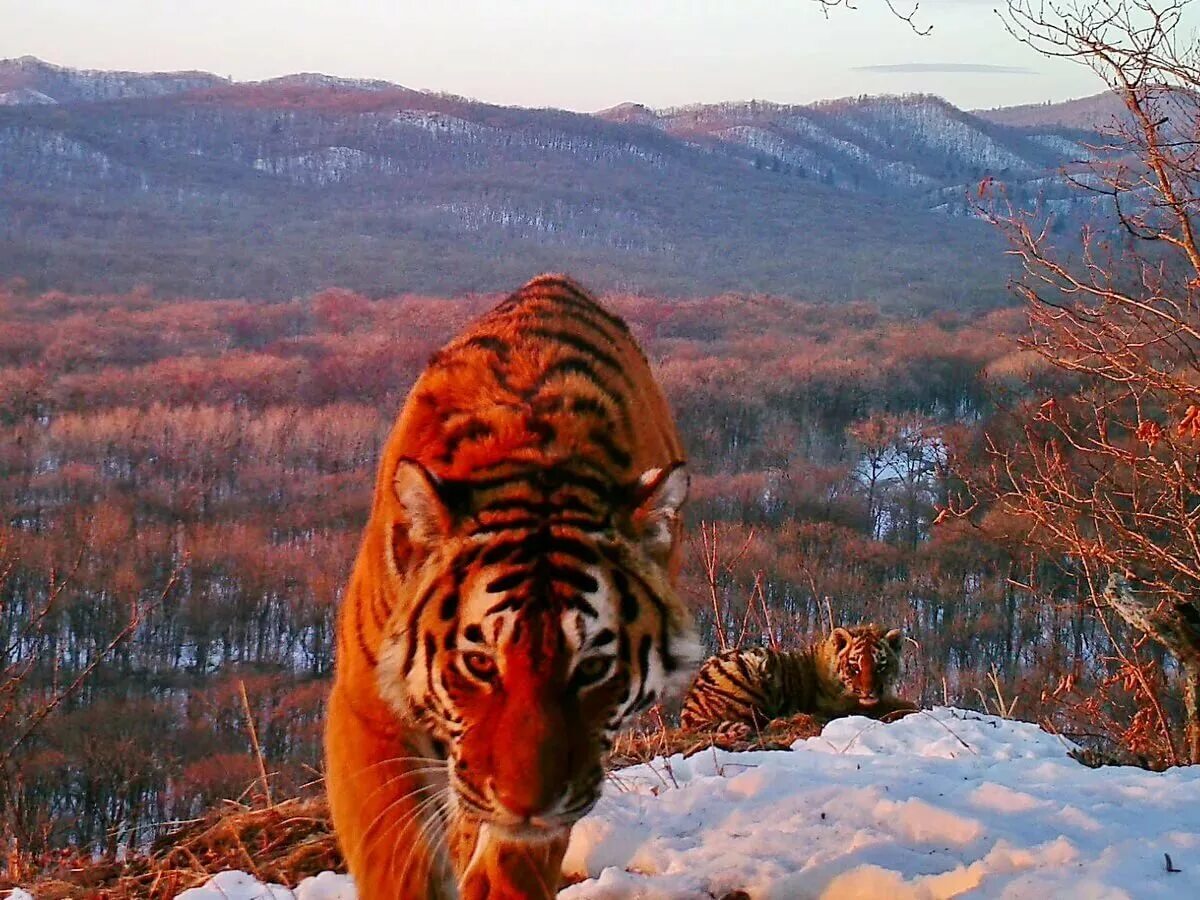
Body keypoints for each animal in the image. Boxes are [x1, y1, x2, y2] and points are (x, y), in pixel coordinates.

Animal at [326, 274, 700, 900]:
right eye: (479, 662)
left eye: (592, 668)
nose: (527, 805)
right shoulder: (367, 712)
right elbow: (398, 859)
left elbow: (515, 863)